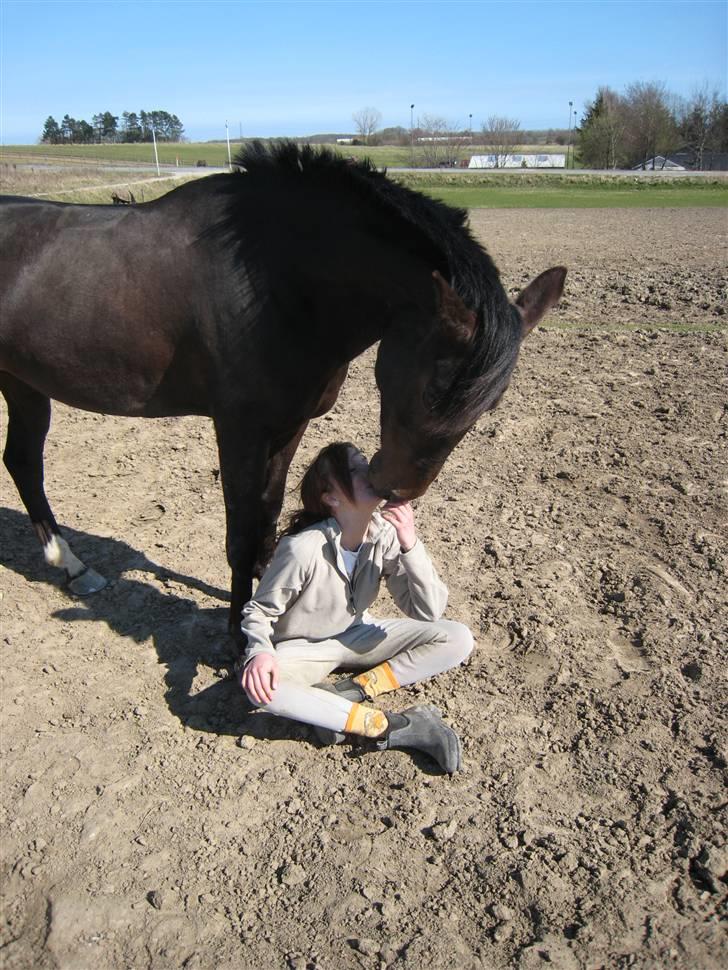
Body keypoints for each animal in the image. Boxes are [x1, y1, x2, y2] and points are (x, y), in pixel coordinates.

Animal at [0, 142, 564, 644]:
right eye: (432, 389)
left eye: (492, 403)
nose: (395, 490)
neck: (276, 281)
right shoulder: (239, 430)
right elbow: (240, 530)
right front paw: (235, 635)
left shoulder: (290, 424)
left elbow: (269, 520)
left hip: (24, 384)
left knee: (22, 461)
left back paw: (72, 566)